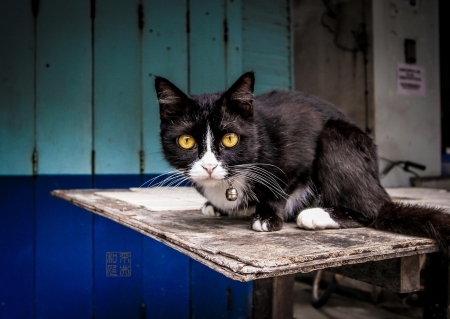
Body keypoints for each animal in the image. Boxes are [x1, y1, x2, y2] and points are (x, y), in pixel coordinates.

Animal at [154, 72, 450, 255]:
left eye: (229, 138)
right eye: (186, 141)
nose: (209, 167)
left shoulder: (297, 141)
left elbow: (281, 186)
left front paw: (267, 216)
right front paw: (215, 206)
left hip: (337, 135)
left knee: (372, 209)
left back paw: (316, 214)